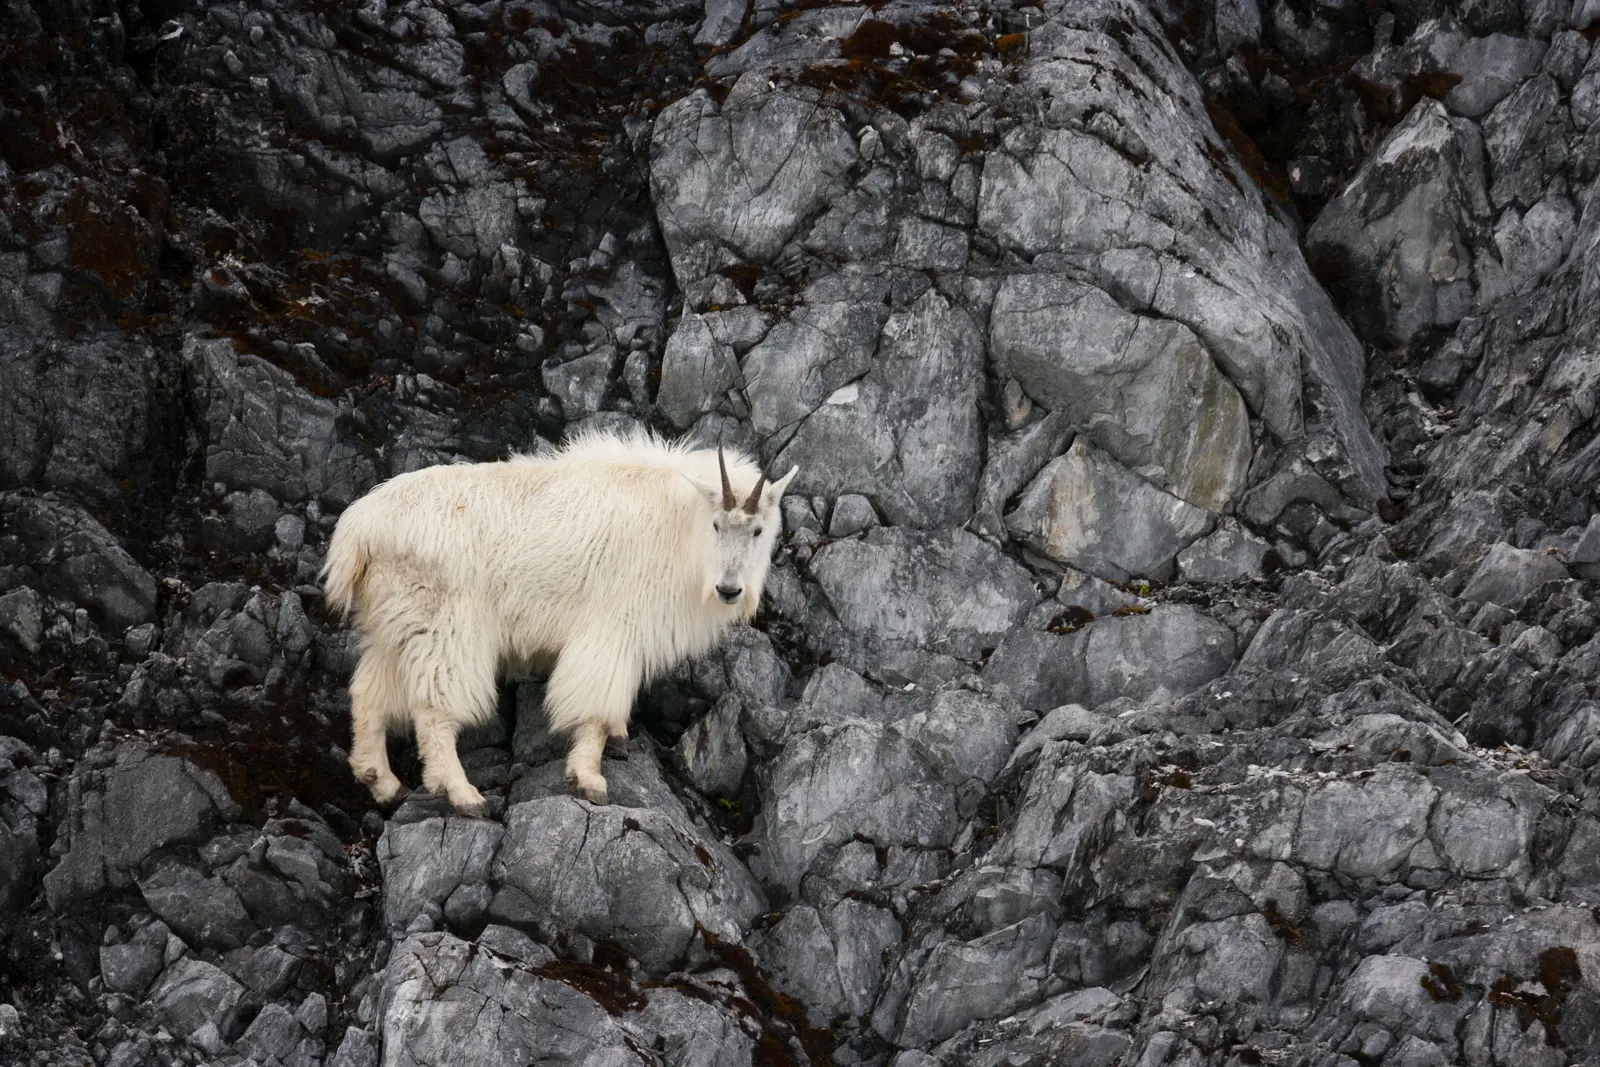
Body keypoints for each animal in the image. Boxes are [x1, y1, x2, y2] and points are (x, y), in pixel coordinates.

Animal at [321, 429, 798, 813]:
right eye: (718, 524)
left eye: (758, 530)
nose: (729, 589)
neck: (680, 527)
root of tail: (358, 530)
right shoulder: (610, 628)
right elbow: (595, 708)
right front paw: (589, 778)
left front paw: (619, 738)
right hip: (445, 627)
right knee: (434, 709)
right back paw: (462, 795)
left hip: (394, 623)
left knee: (368, 693)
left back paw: (381, 781)